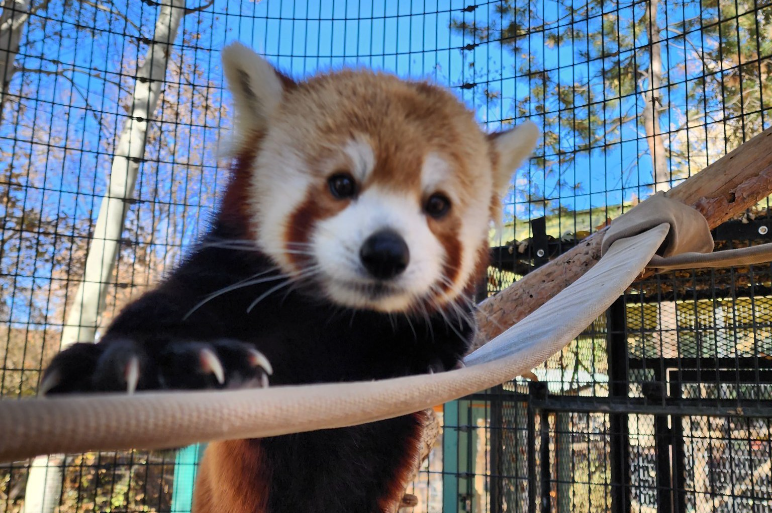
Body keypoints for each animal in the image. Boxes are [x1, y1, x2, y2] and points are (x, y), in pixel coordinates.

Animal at [40, 42, 536, 510]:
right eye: (341, 184)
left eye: (437, 205)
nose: (387, 252)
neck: (339, 319)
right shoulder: (225, 277)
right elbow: (168, 313)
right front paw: (159, 367)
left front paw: (429, 347)